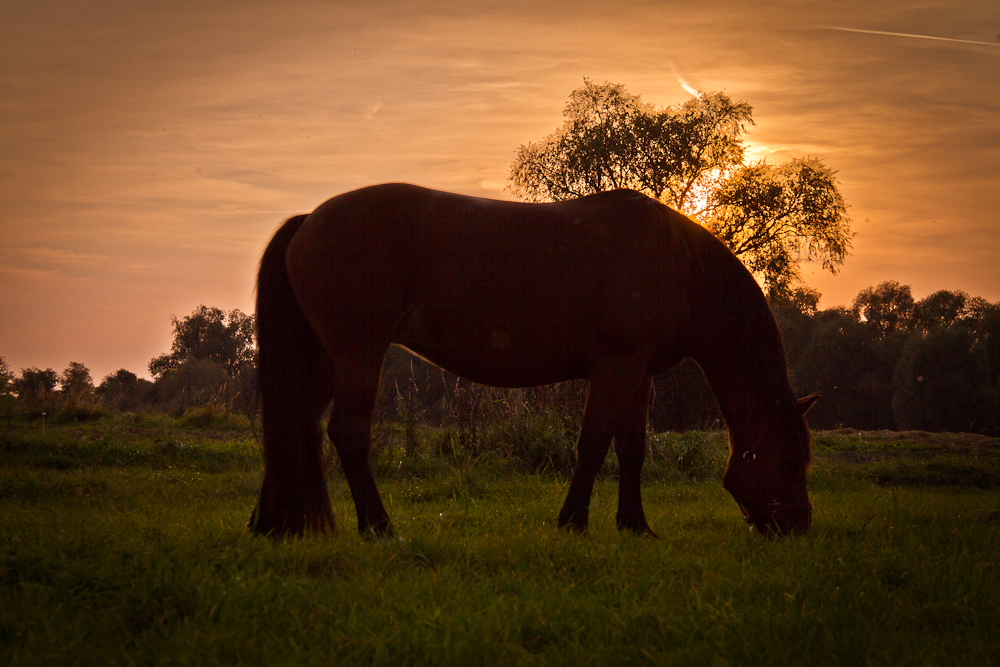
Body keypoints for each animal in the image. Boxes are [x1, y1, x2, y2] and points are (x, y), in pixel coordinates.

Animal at [246, 185, 816, 540]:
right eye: (791, 461)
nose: (798, 527)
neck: (680, 265)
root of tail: (307, 223)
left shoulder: (638, 373)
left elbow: (632, 449)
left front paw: (635, 525)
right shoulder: (617, 366)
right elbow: (594, 444)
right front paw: (573, 521)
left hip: (324, 361)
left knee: (295, 423)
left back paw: (272, 524)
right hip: (358, 356)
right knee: (346, 434)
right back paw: (379, 527)